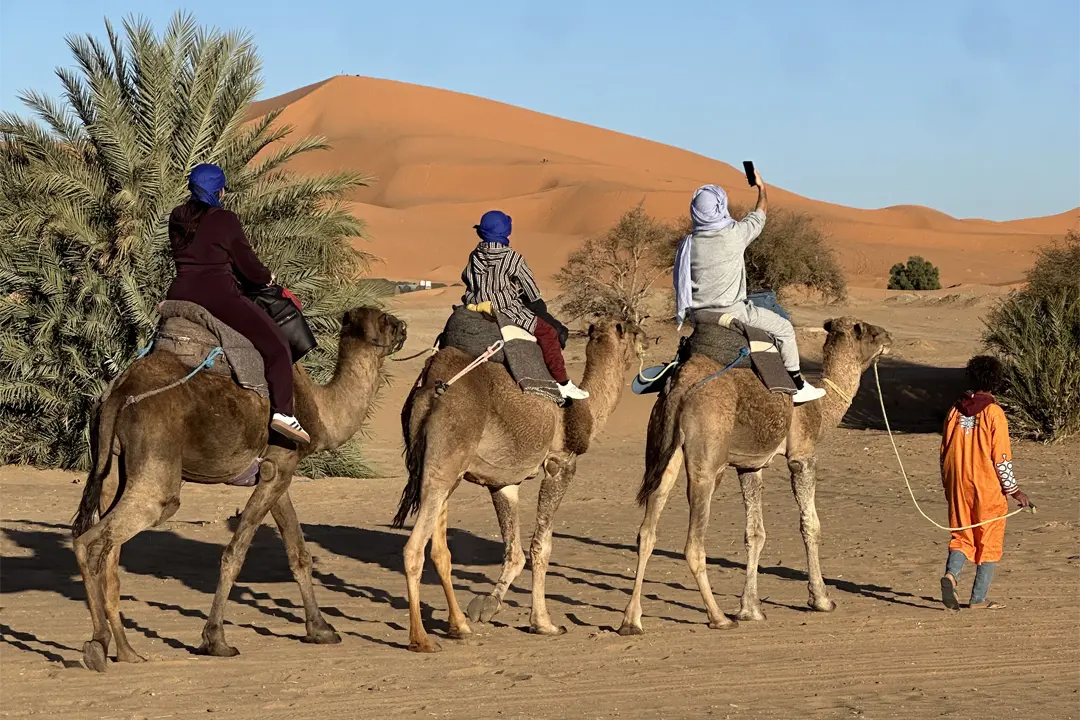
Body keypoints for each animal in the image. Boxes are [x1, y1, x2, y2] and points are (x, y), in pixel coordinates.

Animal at [71, 307, 406, 672]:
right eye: (384, 321)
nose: (404, 327)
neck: (320, 408)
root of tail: (117, 395)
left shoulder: (278, 470)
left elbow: (298, 553)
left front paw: (321, 630)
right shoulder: (280, 466)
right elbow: (235, 552)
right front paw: (215, 640)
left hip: (114, 466)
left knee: (108, 551)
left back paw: (127, 651)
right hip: (156, 463)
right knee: (95, 540)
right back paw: (98, 644)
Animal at [392, 317, 641, 652]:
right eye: (633, 330)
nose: (647, 340)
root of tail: (432, 389)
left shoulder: (503, 482)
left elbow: (514, 551)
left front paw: (486, 607)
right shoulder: (560, 464)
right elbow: (541, 546)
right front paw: (545, 624)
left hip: (442, 469)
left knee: (440, 549)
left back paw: (459, 626)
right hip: (447, 456)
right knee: (413, 548)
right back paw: (420, 639)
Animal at [618, 316, 892, 634]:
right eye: (868, 331)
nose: (889, 337)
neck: (822, 407)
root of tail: (680, 386)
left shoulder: (750, 466)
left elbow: (754, 532)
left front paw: (750, 609)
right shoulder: (802, 456)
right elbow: (811, 525)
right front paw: (821, 600)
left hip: (664, 451)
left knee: (647, 532)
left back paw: (631, 620)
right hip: (707, 463)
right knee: (693, 543)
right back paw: (718, 617)